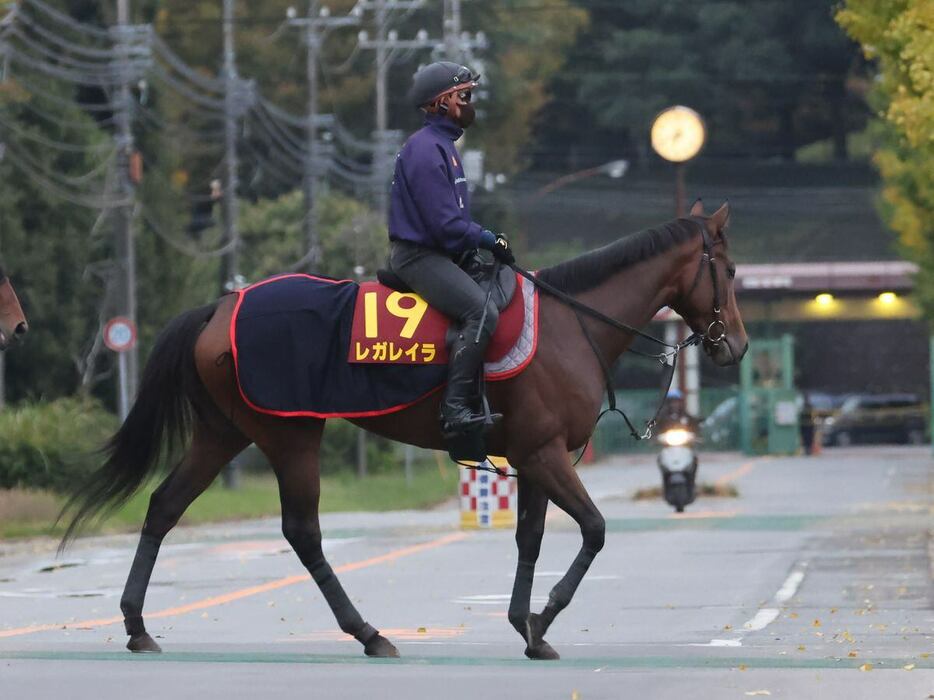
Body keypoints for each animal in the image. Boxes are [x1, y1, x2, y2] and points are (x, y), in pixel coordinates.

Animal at [60, 200, 744, 660]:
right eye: (731, 271)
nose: (734, 345)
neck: (569, 324)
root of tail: (223, 304)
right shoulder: (545, 455)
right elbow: (595, 530)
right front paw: (545, 617)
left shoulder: (530, 458)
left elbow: (528, 539)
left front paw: (526, 625)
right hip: (289, 435)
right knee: (302, 532)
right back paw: (368, 633)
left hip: (223, 433)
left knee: (164, 506)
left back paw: (137, 625)